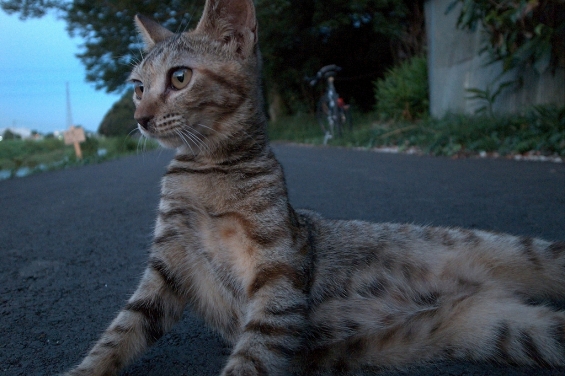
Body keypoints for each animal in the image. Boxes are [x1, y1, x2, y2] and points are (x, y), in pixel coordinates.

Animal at [62, 0, 564, 374]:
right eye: (137, 87)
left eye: (179, 77)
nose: (140, 118)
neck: (207, 168)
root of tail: (487, 290)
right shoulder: (165, 266)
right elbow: (120, 333)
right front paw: (86, 369)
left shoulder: (278, 268)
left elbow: (254, 351)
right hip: (512, 328)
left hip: (523, 252)